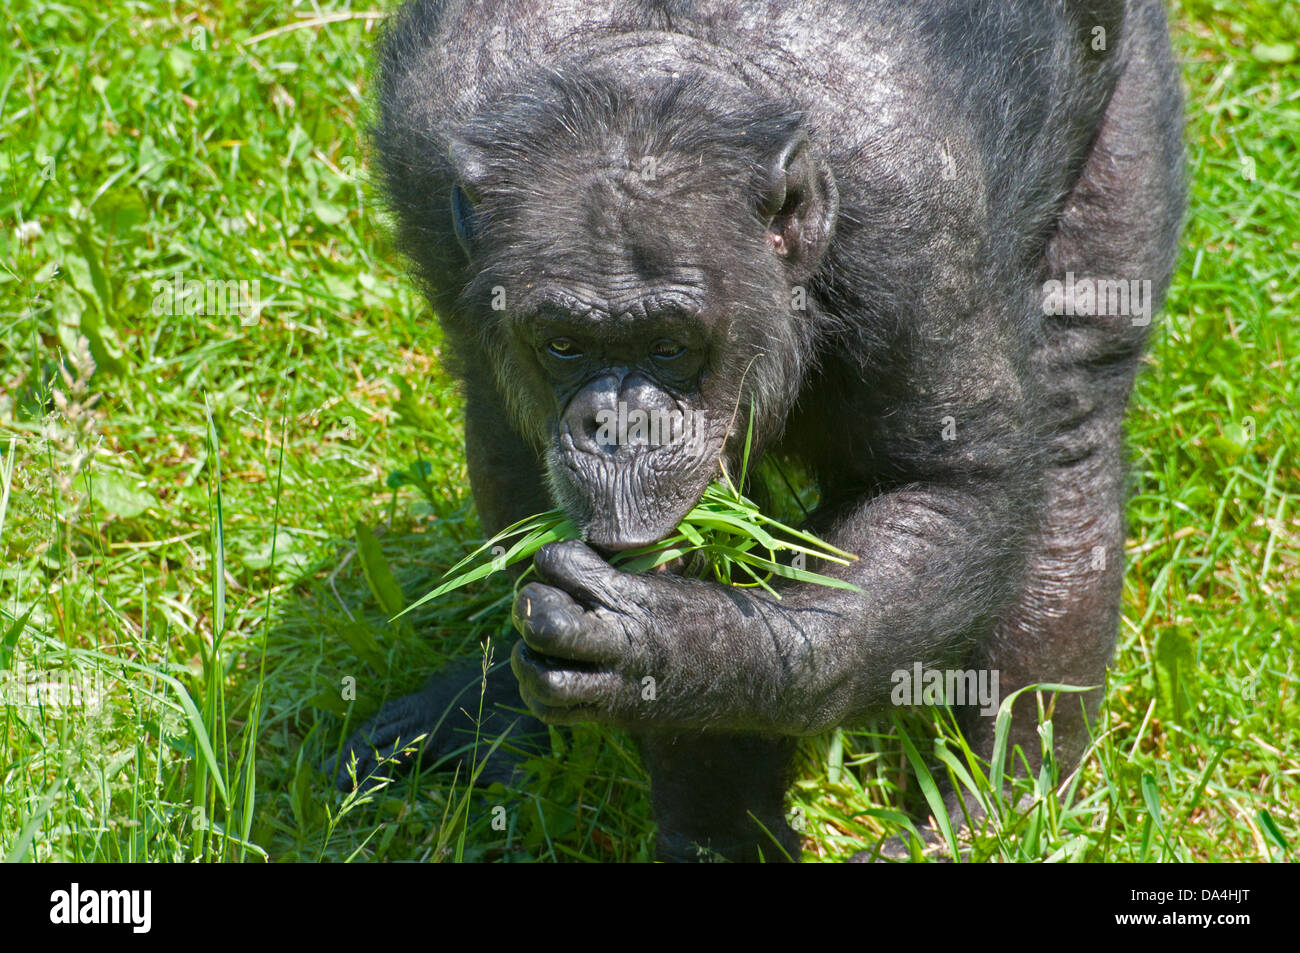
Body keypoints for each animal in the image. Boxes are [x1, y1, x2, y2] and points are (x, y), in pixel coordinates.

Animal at [332, 0, 1180, 863]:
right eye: (564, 344)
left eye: (669, 346)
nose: (616, 426)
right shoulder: (431, 176)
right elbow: (512, 446)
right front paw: (713, 824)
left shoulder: (917, 220)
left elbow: (947, 485)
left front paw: (672, 650)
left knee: (1073, 410)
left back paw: (994, 805)